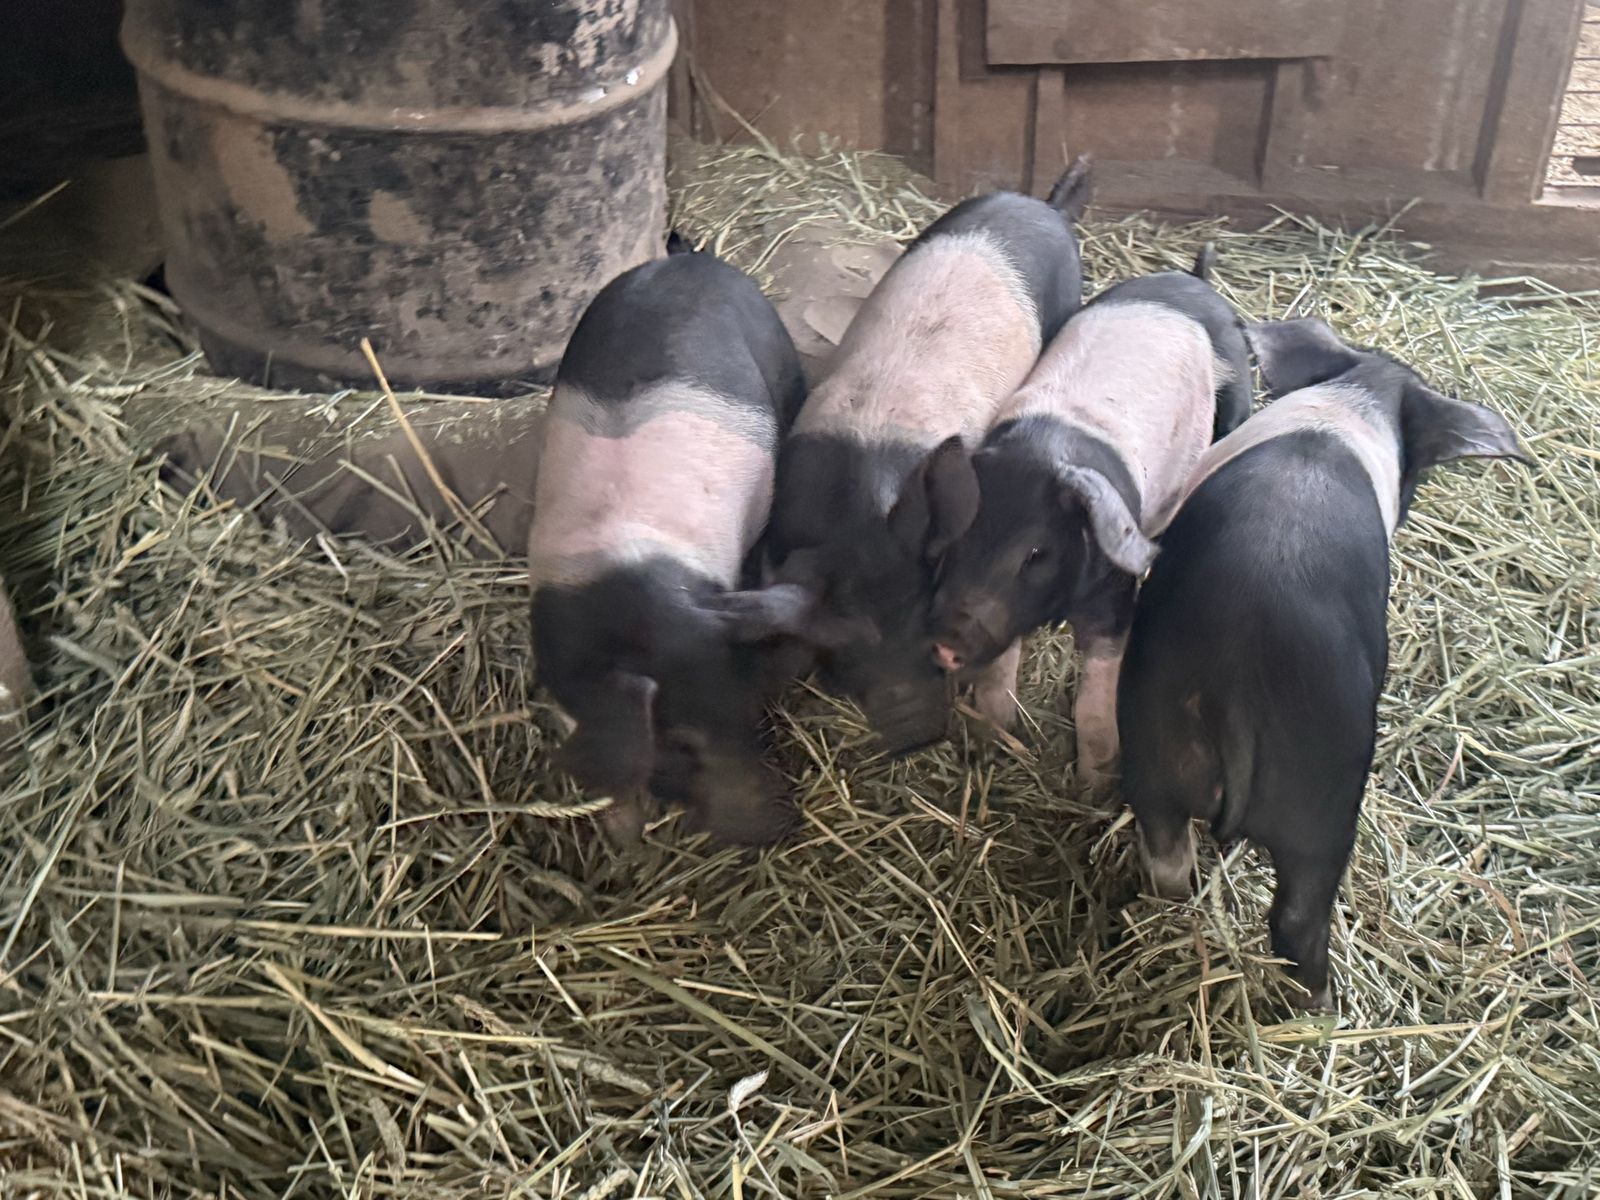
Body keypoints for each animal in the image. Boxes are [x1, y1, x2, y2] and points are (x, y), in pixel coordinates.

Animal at [925, 247, 1250, 792]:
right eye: (954, 544)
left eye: (1036, 553)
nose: (946, 647)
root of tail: (1193, 281)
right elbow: (999, 672)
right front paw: (992, 739)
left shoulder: (1115, 593)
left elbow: (1096, 698)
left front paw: (1095, 787)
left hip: (1236, 384)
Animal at [1116, 317, 1529, 1009]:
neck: (1352, 403)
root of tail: (1234, 687)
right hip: (1322, 804)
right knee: (1298, 921)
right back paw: (1324, 1010)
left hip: (1153, 754)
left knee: (1168, 862)